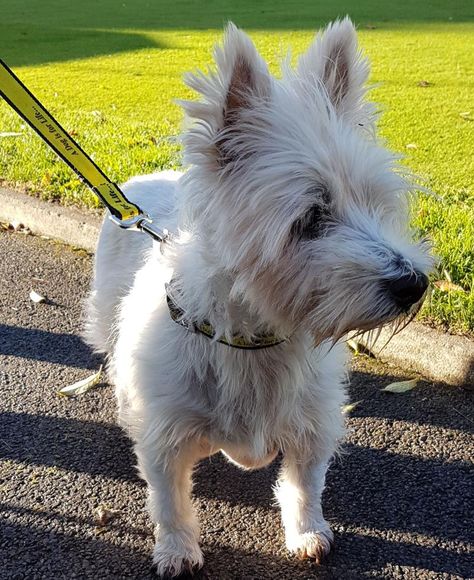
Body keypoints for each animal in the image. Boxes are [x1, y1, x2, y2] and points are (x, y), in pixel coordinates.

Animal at [83, 19, 432, 580]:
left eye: (376, 204)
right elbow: (169, 497)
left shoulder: (313, 422)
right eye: (311, 218)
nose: (413, 283)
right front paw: (177, 549)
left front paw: (307, 532)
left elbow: (304, 483)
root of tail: (138, 186)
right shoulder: (166, 435)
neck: (257, 338)